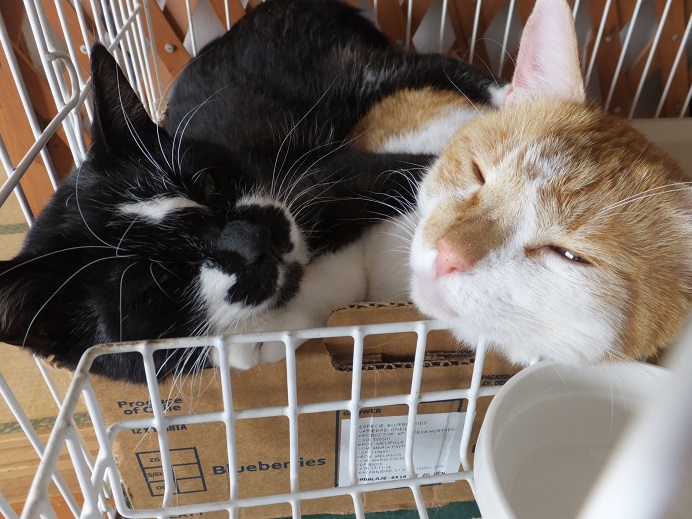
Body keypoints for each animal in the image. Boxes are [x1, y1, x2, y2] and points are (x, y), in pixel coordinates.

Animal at [0, 0, 504, 382]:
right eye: (154, 283)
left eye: (208, 182)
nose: (252, 238)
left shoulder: (315, 174)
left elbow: (387, 174)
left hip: (359, 69)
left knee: (427, 67)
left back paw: (504, 96)